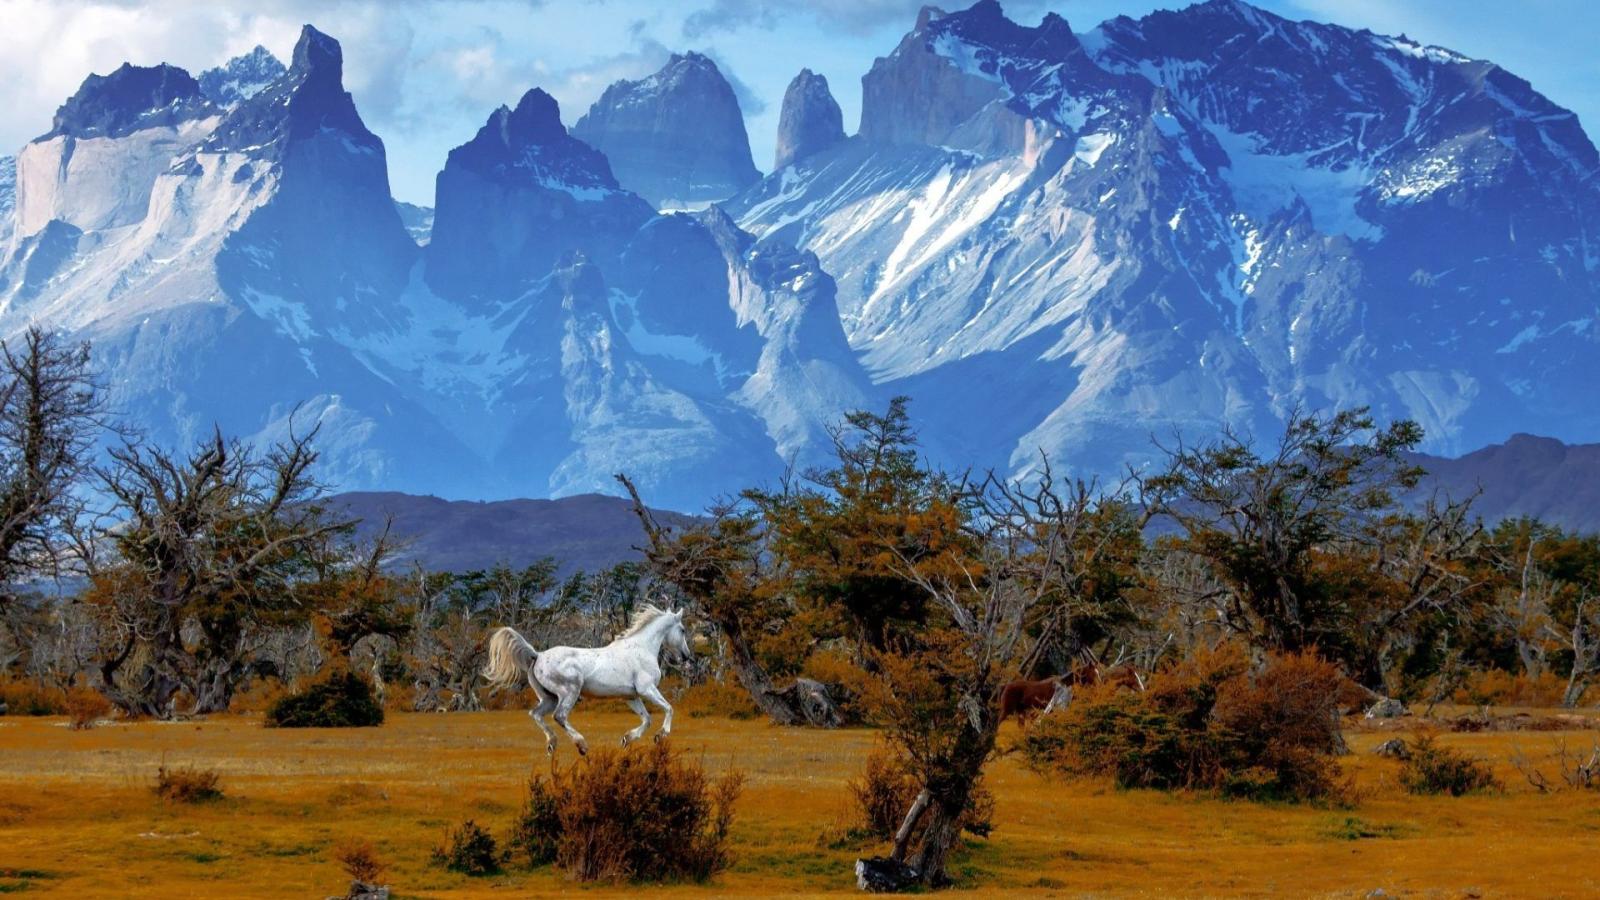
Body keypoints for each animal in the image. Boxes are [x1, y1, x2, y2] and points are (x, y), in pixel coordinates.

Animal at [482, 603, 692, 756]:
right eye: (682, 629)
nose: (686, 656)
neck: (641, 649)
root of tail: (537, 655)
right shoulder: (647, 689)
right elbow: (669, 709)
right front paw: (660, 736)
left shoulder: (631, 696)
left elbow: (646, 719)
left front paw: (627, 739)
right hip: (569, 692)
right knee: (559, 716)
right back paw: (581, 745)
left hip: (549, 697)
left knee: (536, 714)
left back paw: (552, 744)